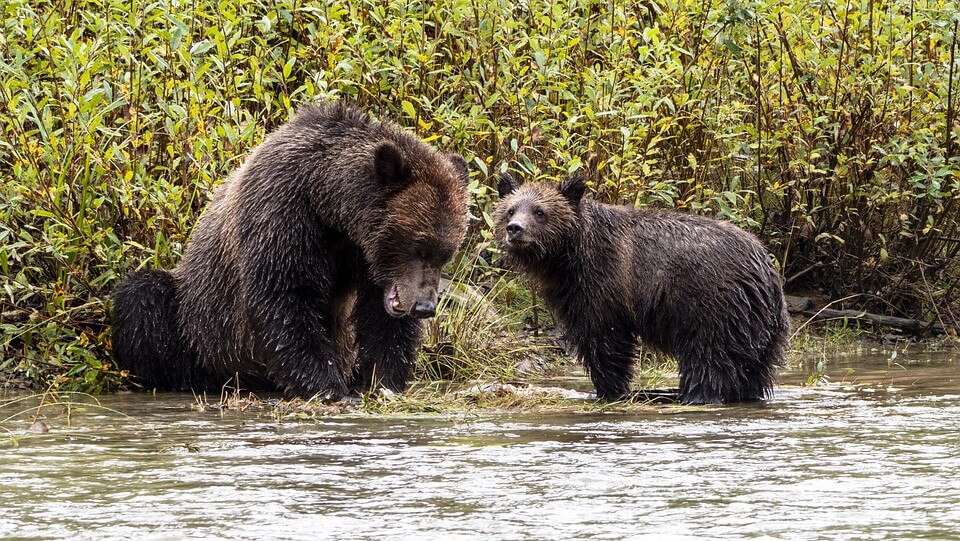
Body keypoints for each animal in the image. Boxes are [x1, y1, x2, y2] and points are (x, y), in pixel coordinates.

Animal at [112, 102, 469, 399]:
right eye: (418, 246)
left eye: (447, 252)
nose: (424, 306)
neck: (328, 204)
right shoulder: (283, 215)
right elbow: (285, 300)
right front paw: (329, 387)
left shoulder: (361, 255)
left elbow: (381, 320)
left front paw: (381, 382)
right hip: (199, 323)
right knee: (143, 300)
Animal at [494, 171, 789, 404]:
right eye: (510, 209)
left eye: (539, 212)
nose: (515, 229)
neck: (567, 258)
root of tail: (765, 266)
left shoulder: (603, 283)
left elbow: (603, 339)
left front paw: (607, 389)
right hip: (760, 326)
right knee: (753, 369)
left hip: (712, 304)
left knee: (708, 356)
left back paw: (695, 395)